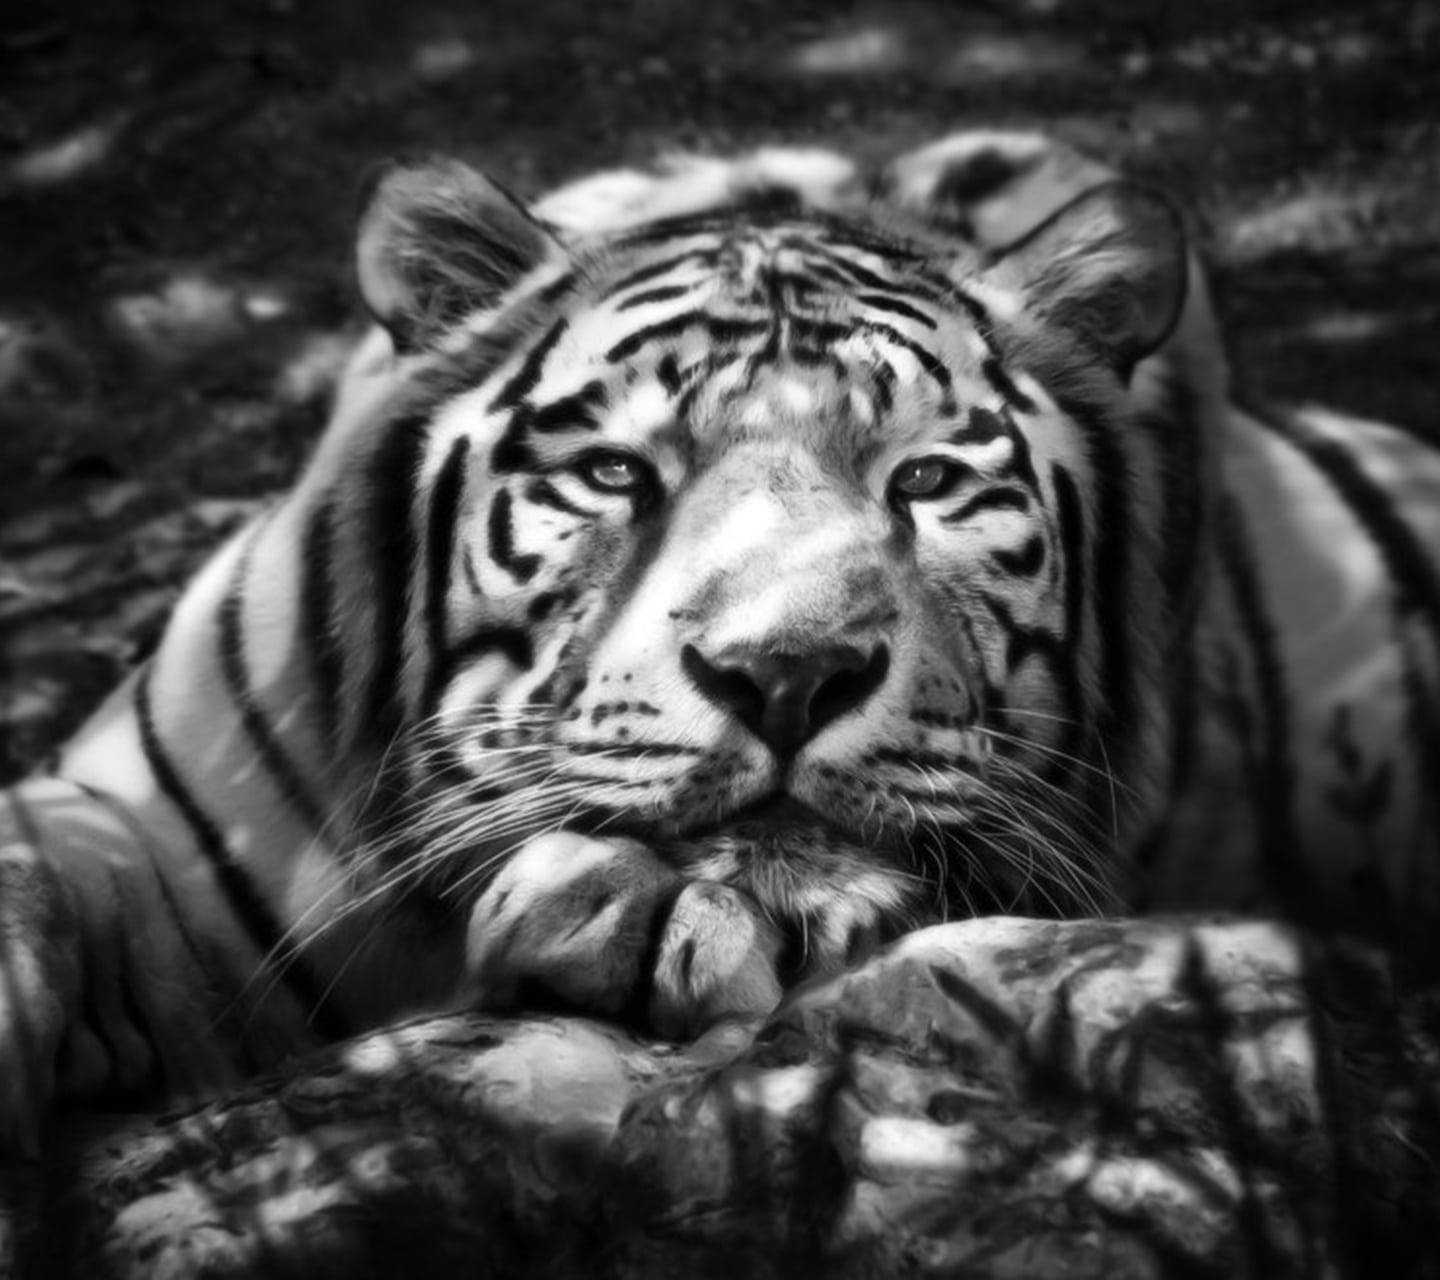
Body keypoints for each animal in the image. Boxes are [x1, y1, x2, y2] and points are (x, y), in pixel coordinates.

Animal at [3, 127, 1438, 1156]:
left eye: (925, 483)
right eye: (615, 473)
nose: (789, 674)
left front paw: (707, 903)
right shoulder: (135, 817)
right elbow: (39, 870)